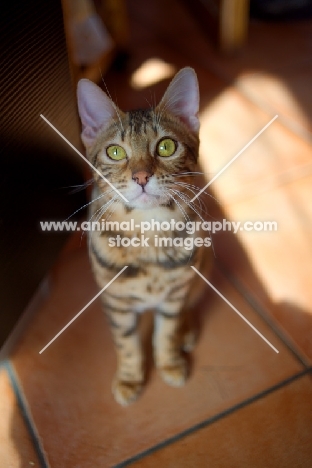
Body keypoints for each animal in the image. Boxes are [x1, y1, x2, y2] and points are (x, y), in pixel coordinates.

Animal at [76, 66, 212, 406]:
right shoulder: (116, 301)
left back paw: (187, 331)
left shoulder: (175, 292)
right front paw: (129, 378)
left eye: (166, 146)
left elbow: (166, 332)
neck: (148, 231)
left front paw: (170, 362)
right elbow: (126, 344)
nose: (141, 176)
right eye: (114, 151)